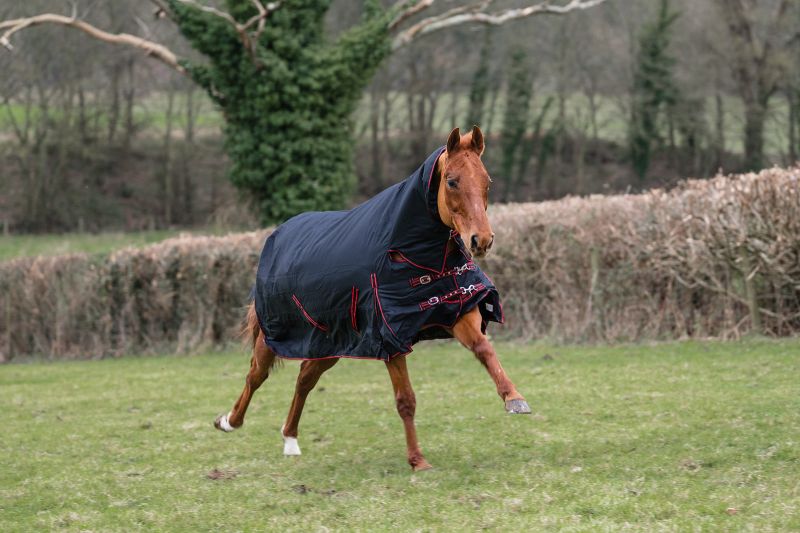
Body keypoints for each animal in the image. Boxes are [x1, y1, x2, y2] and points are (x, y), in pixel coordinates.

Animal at [214, 126, 530, 471]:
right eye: (451, 181)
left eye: (487, 181)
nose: (481, 240)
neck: (416, 254)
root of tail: (278, 235)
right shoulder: (390, 336)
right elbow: (406, 400)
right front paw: (418, 460)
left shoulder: (454, 310)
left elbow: (483, 348)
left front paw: (514, 398)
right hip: (275, 336)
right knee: (256, 374)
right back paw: (229, 421)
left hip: (330, 343)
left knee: (305, 379)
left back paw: (290, 439)